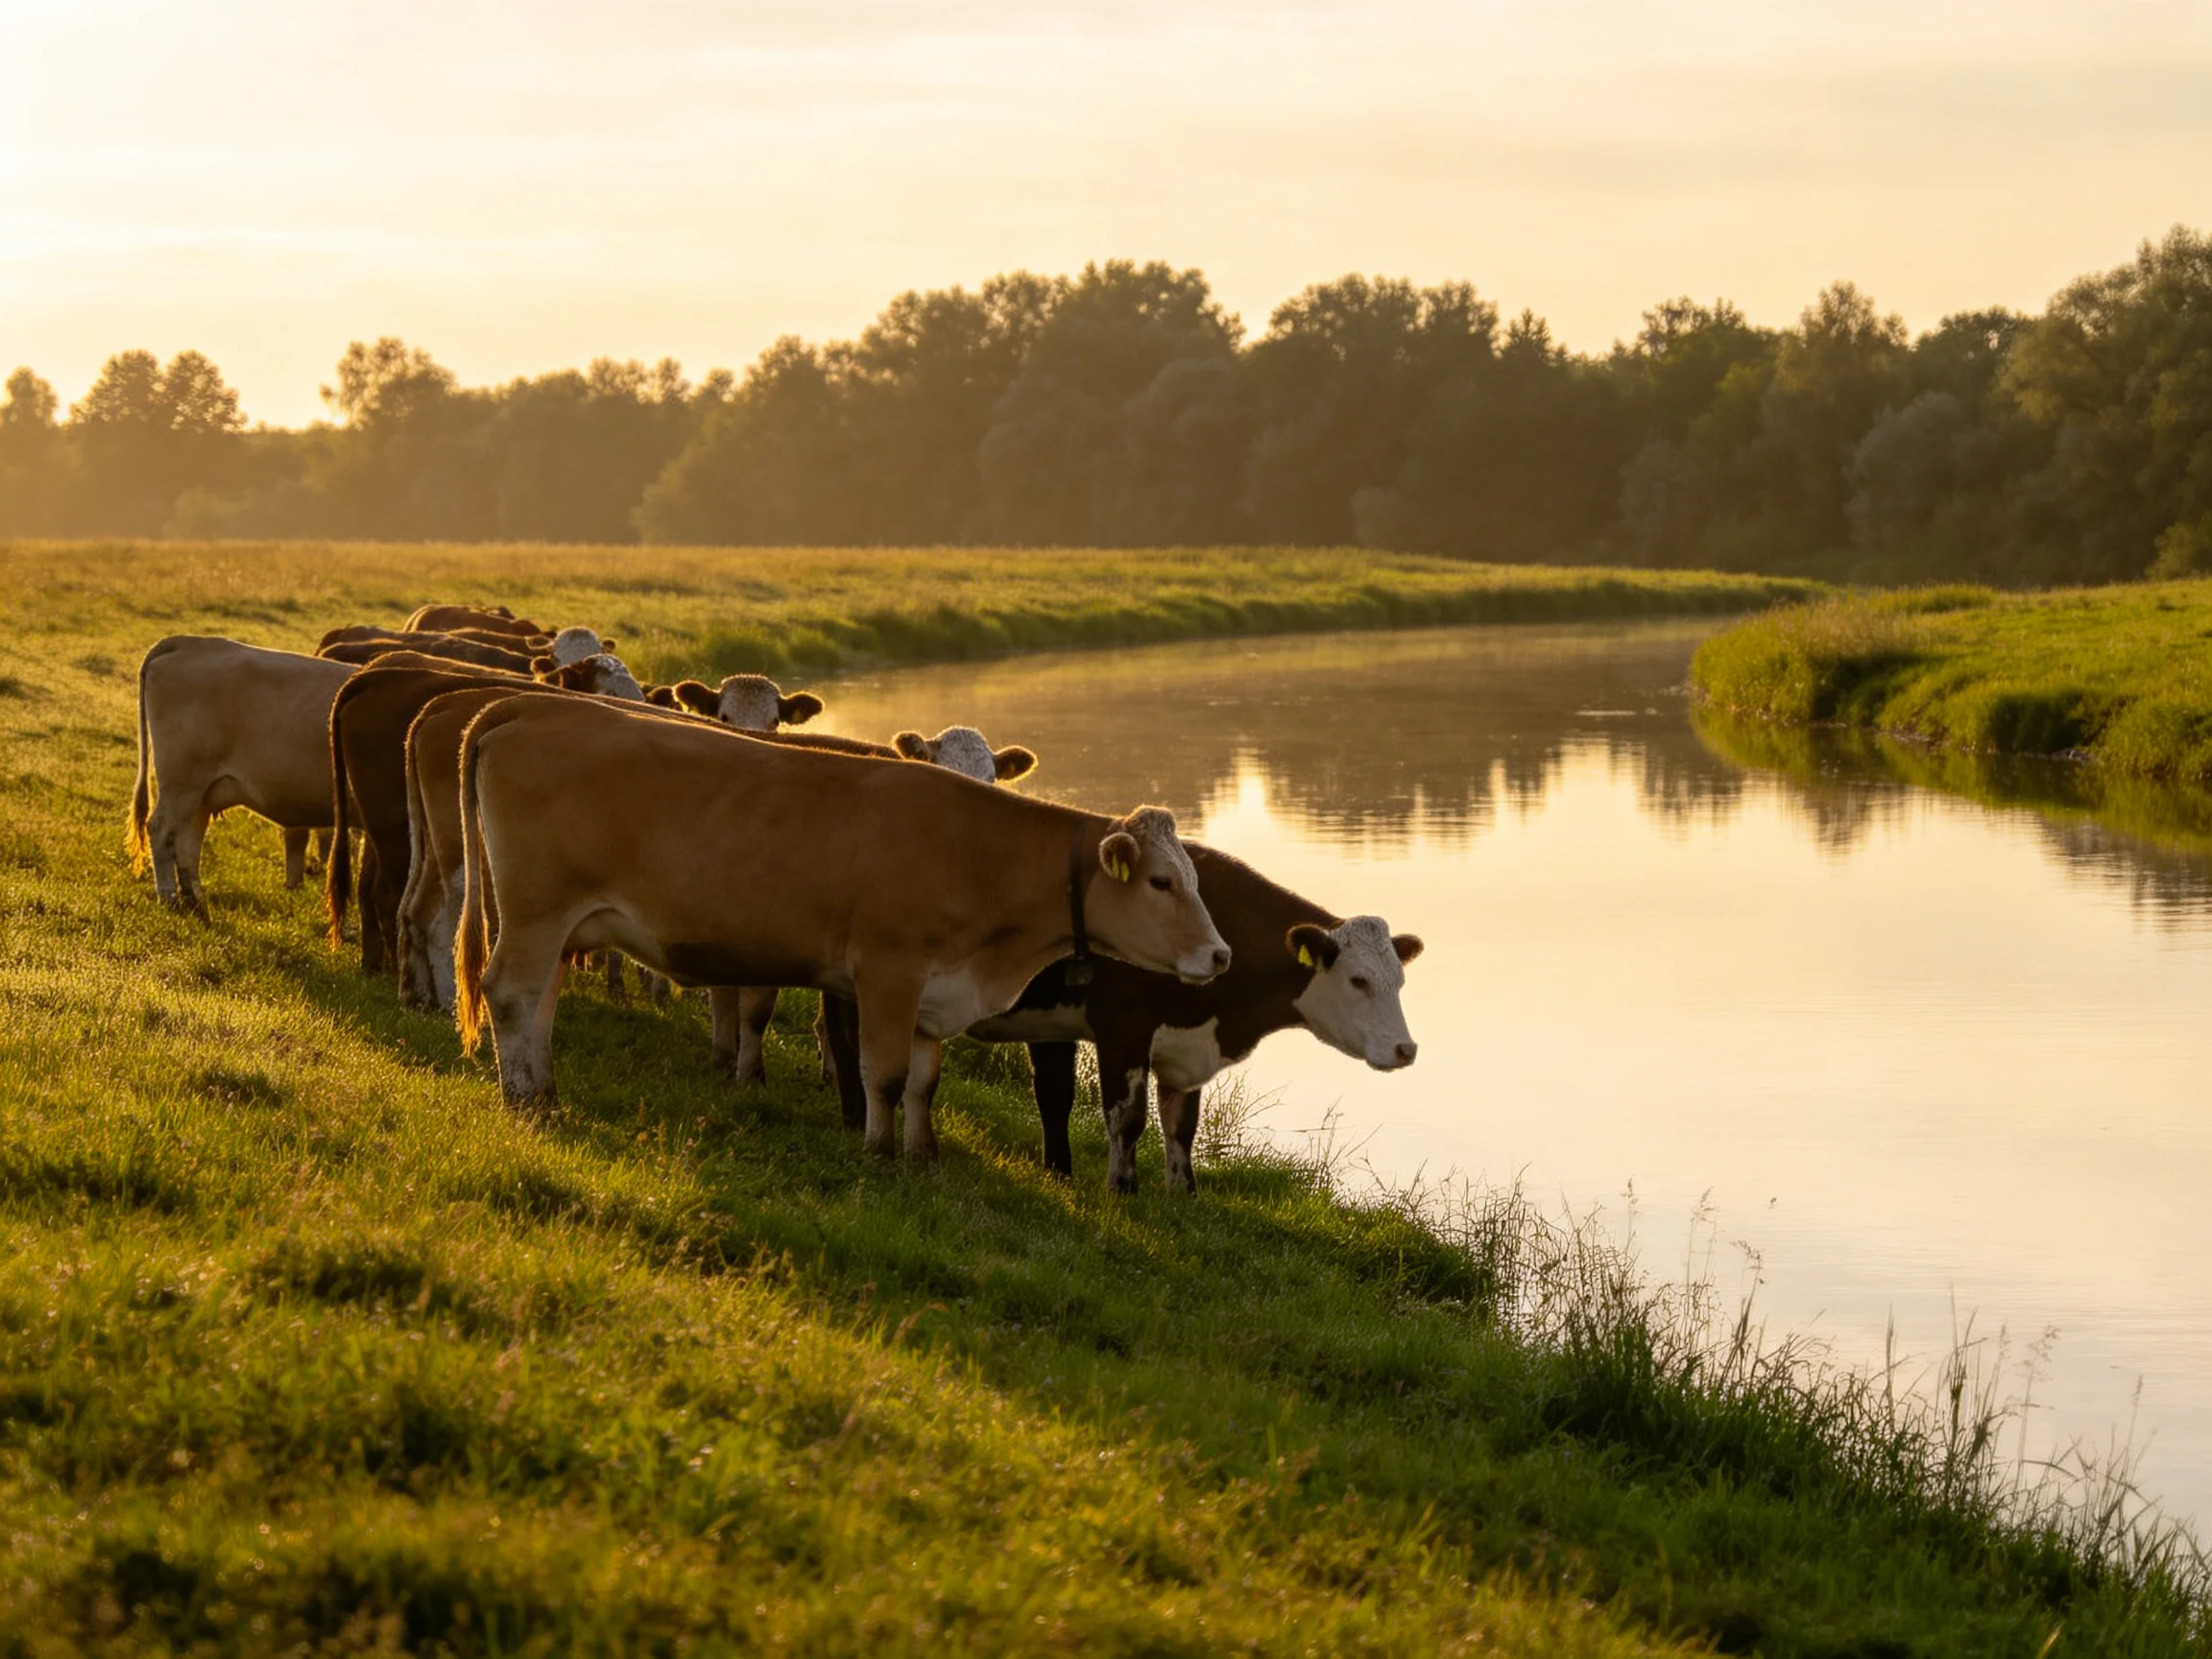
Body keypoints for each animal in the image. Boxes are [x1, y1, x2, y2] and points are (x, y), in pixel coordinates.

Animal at [128, 637, 355, 914]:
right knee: (161, 829)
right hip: (183, 783)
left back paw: (196, 902)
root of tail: (191, 642)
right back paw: (169, 897)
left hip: (201, 793)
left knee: (187, 843)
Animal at [452, 695, 1229, 1158]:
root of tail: (528, 710)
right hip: (536, 909)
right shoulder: (889, 972)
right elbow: (882, 1075)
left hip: (561, 925)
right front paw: (880, 1154)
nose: (1220, 955)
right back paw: (523, 1099)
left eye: (1193, 882)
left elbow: (923, 1083)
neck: (978, 855)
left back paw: (545, 1089)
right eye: (1161, 883)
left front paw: (922, 1155)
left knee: (541, 1001)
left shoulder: (934, 991)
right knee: (512, 994)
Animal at [965, 847, 1422, 1192]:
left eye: (1400, 981)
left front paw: (1182, 1193)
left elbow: (1177, 1125)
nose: (1406, 1049)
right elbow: (1127, 1118)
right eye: (1358, 980)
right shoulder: (1122, 1032)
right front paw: (1123, 1189)